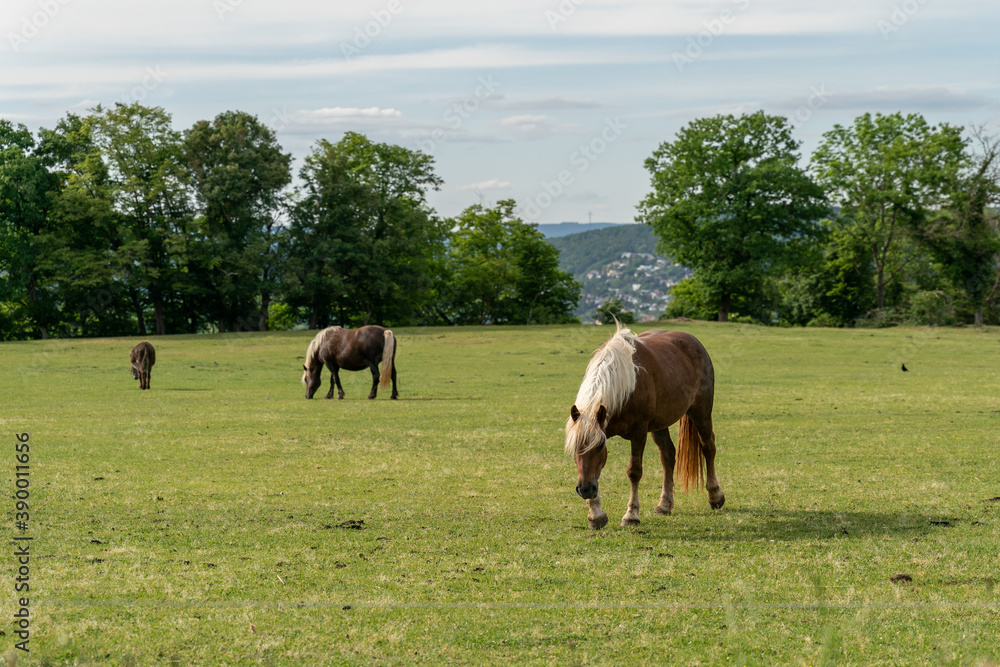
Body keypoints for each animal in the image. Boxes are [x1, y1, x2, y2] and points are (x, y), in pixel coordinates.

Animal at [568, 324, 724, 532]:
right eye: (573, 448)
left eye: (600, 446)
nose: (585, 489)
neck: (625, 385)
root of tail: (692, 340)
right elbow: (596, 471)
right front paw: (596, 514)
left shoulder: (639, 433)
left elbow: (634, 472)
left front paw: (631, 515)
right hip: (660, 425)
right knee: (668, 455)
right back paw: (664, 504)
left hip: (701, 411)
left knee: (708, 447)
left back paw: (715, 496)